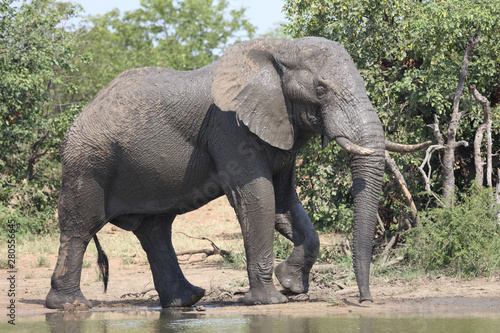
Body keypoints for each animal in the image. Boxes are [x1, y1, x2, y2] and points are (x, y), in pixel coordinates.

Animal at [46, 37, 430, 308]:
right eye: (321, 88)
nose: (365, 301)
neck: (280, 49)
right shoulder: (229, 127)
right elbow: (258, 197)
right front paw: (271, 300)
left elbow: (285, 201)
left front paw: (291, 284)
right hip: (87, 164)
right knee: (80, 228)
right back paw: (71, 306)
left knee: (154, 230)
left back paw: (187, 301)